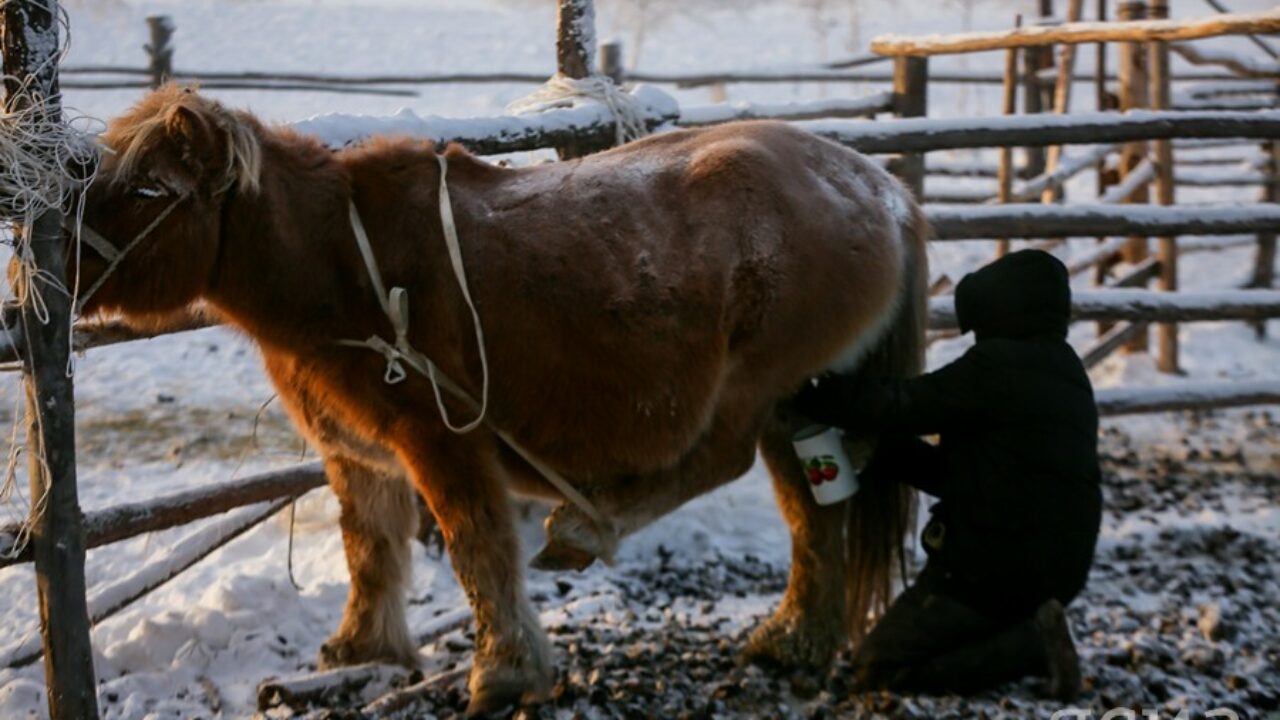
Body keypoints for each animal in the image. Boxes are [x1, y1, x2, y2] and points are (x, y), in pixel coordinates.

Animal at [74, 85, 926, 712]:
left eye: (146, 189)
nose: (53, 266)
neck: (343, 269)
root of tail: (881, 189)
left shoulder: (443, 441)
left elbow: (476, 548)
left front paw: (506, 670)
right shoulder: (358, 454)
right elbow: (369, 548)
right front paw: (362, 648)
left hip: (753, 386)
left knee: (720, 460)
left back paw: (587, 527)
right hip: (798, 398)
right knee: (811, 510)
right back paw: (794, 641)